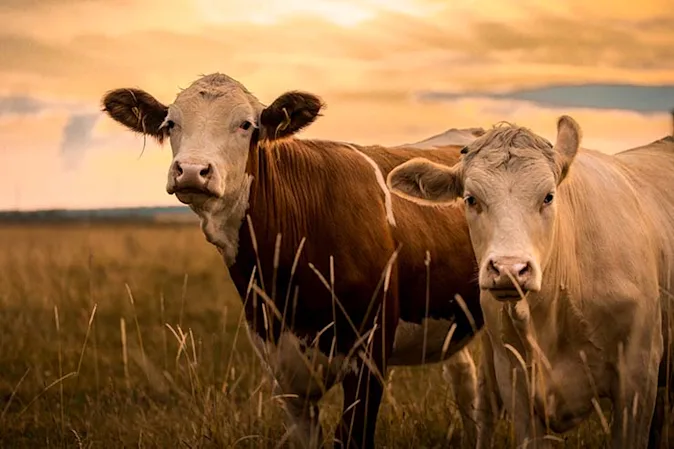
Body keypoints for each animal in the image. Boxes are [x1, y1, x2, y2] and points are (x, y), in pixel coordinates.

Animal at [100, 73, 485, 449]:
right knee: (465, 380)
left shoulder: (369, 357)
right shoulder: (282, 368)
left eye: (246, 124)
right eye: (171, 124)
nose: (192, 170)